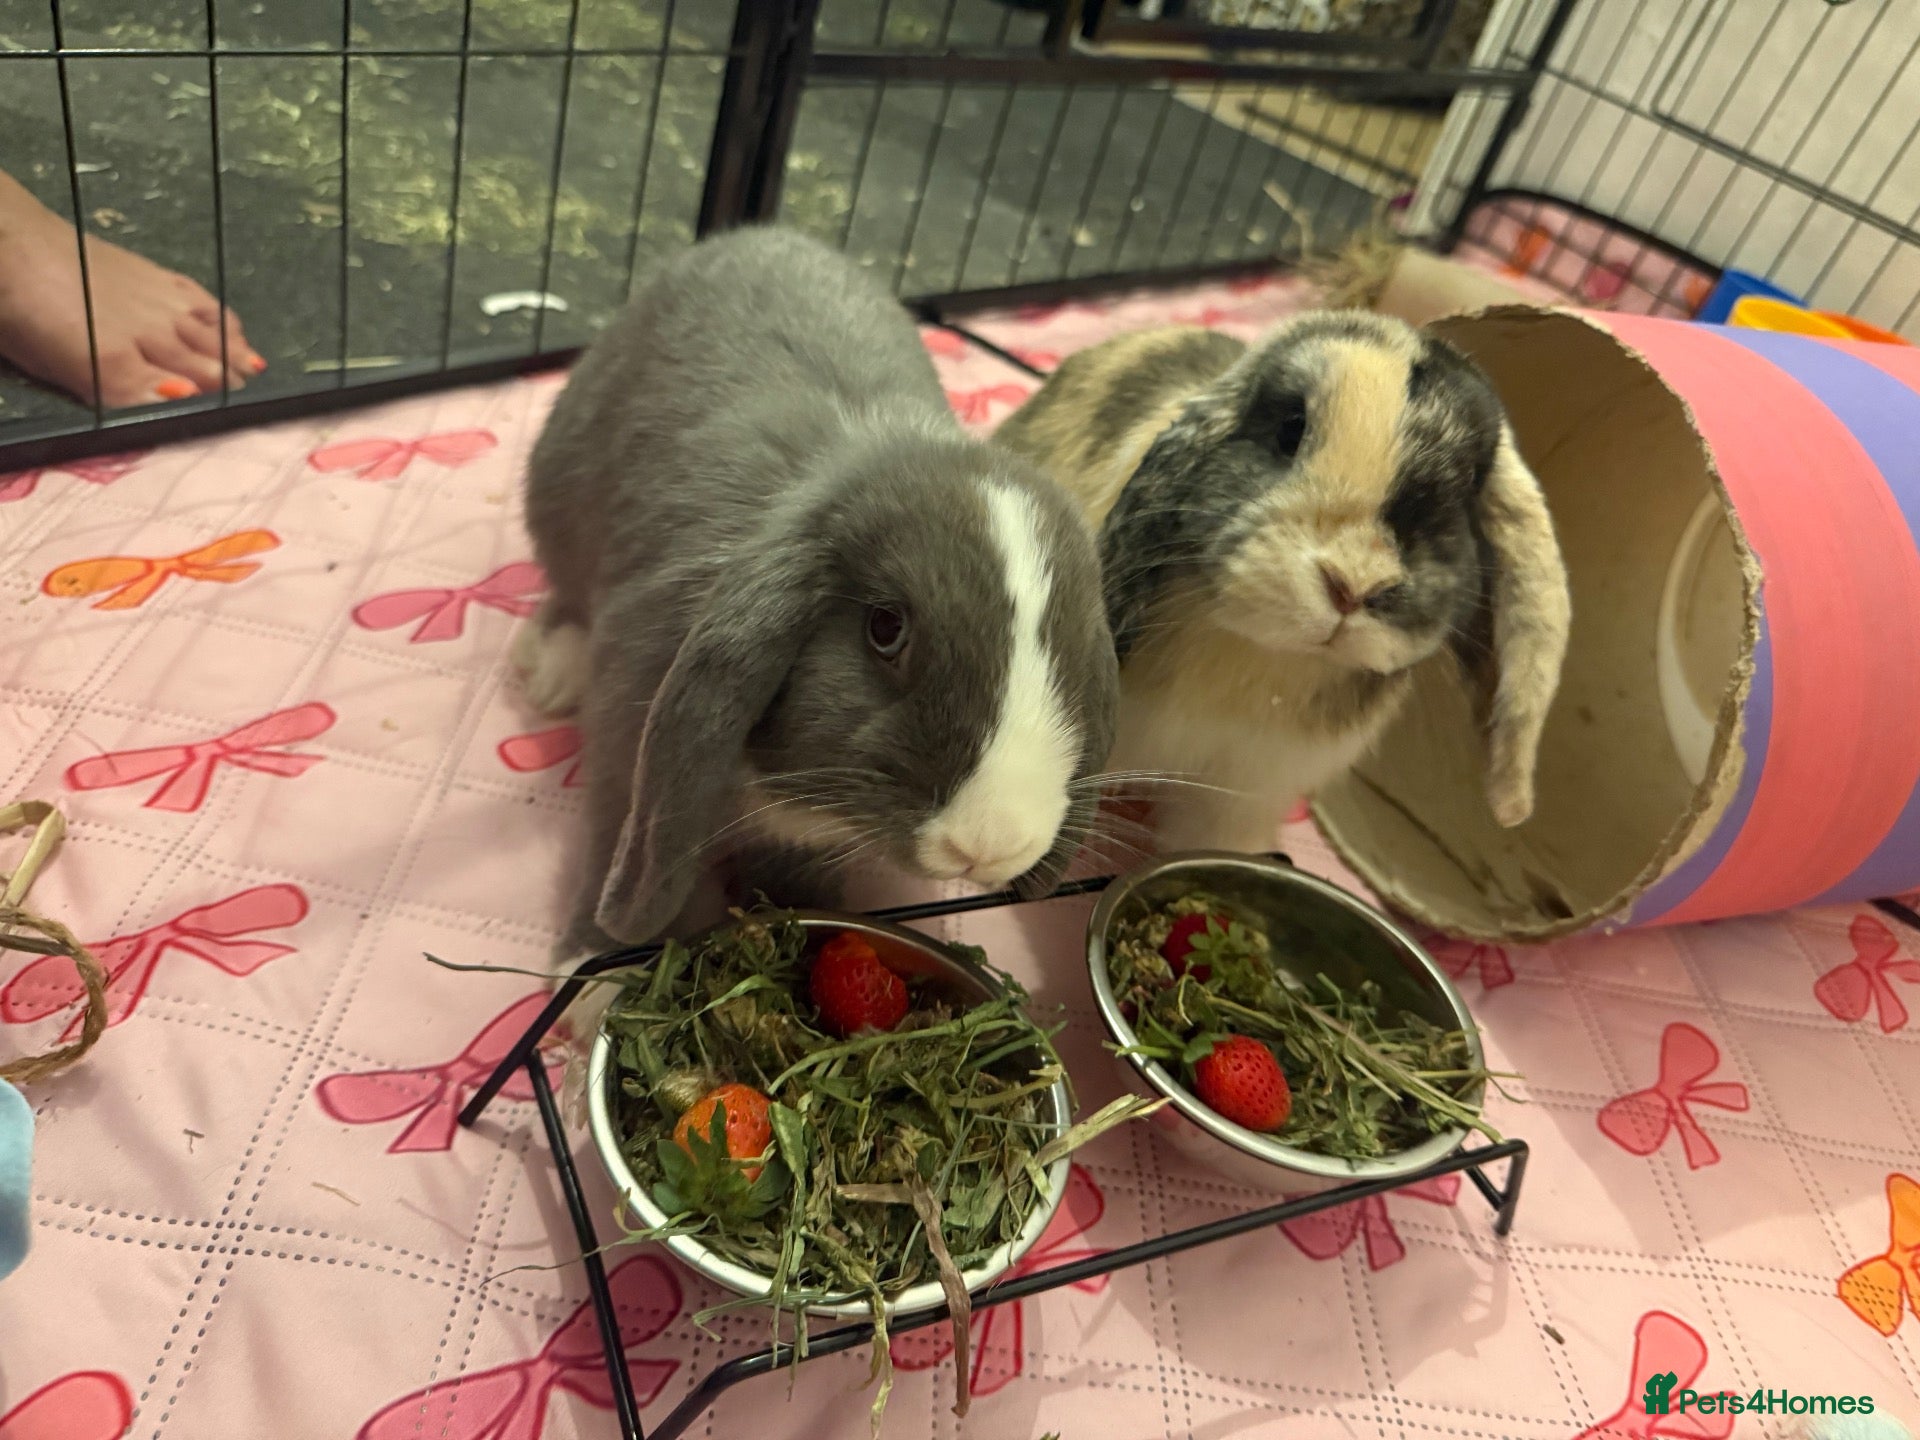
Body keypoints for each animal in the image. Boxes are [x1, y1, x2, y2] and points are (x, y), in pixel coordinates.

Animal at [513, 225, 1118, 961]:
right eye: (885, 627)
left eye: (1076, 643)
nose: (991, 842)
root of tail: (758, 234)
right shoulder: (629, 741)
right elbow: (611, 841)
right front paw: (596, 962)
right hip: (557, 492)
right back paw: (554, 673)